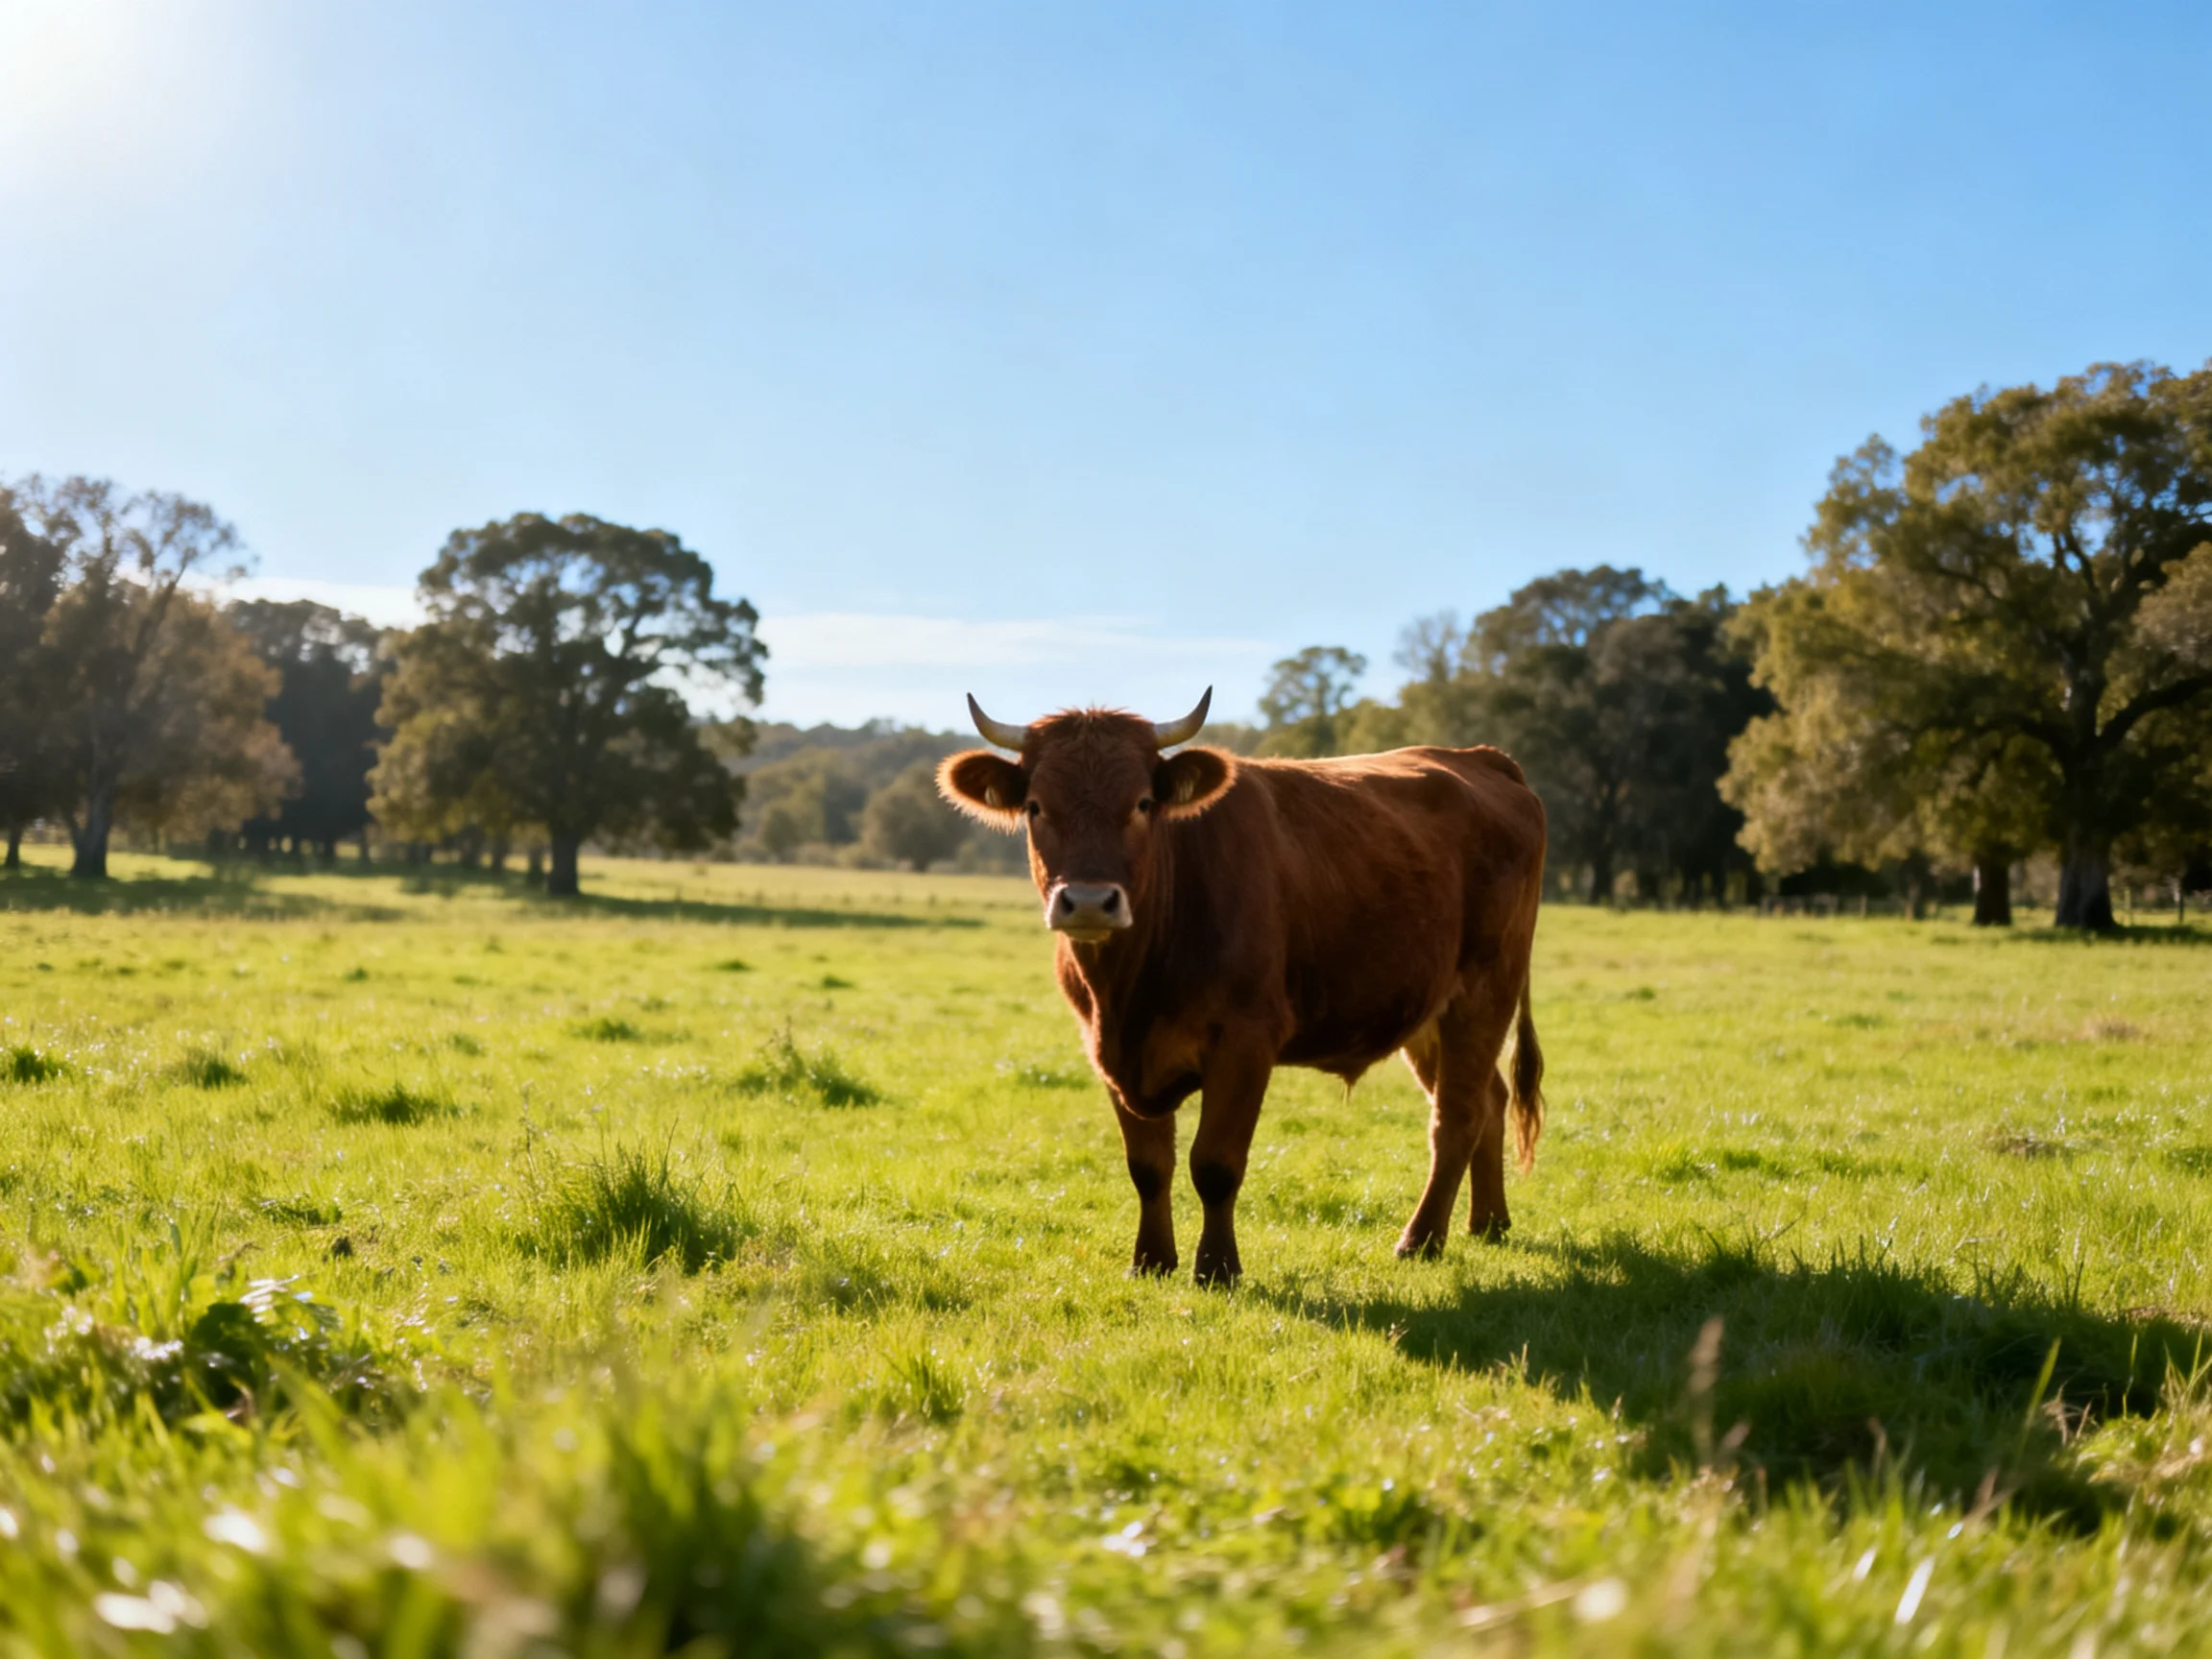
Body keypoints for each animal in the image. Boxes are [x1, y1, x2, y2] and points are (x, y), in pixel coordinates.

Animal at [937, 687, 1548, 1285]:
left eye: (1142, 803)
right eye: (1036, 806)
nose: (1088, 901)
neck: (1131, 988)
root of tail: (1480, 758)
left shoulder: (1246, 1040)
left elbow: (1214, 1164)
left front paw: (1217, 1268)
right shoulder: (1105, 1048)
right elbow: (1148, 1166)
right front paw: (1150, 1261)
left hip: (1484, 992)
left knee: (1456, 1117)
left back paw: (1421, 1240)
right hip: (1424, 1013)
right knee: (1489, 1100)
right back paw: (1487, 1222)